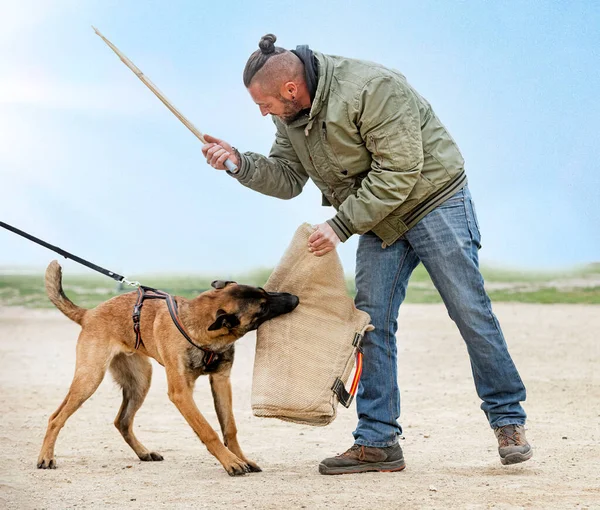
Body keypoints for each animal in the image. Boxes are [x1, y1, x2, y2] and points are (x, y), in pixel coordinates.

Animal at [37, 260, 300, 476]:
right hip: (89, 379)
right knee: (56, 417)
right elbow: (208, 430)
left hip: (140, 382)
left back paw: (143, 452)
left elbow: (230, 428)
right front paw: (231, 462)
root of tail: (89, 313)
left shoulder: (221, 382)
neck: (197, 326)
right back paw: (46, 457)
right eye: (262, 307)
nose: (295, 298)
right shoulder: (181, 393)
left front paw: (241, 458)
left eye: (264, 291)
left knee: (122, 421)